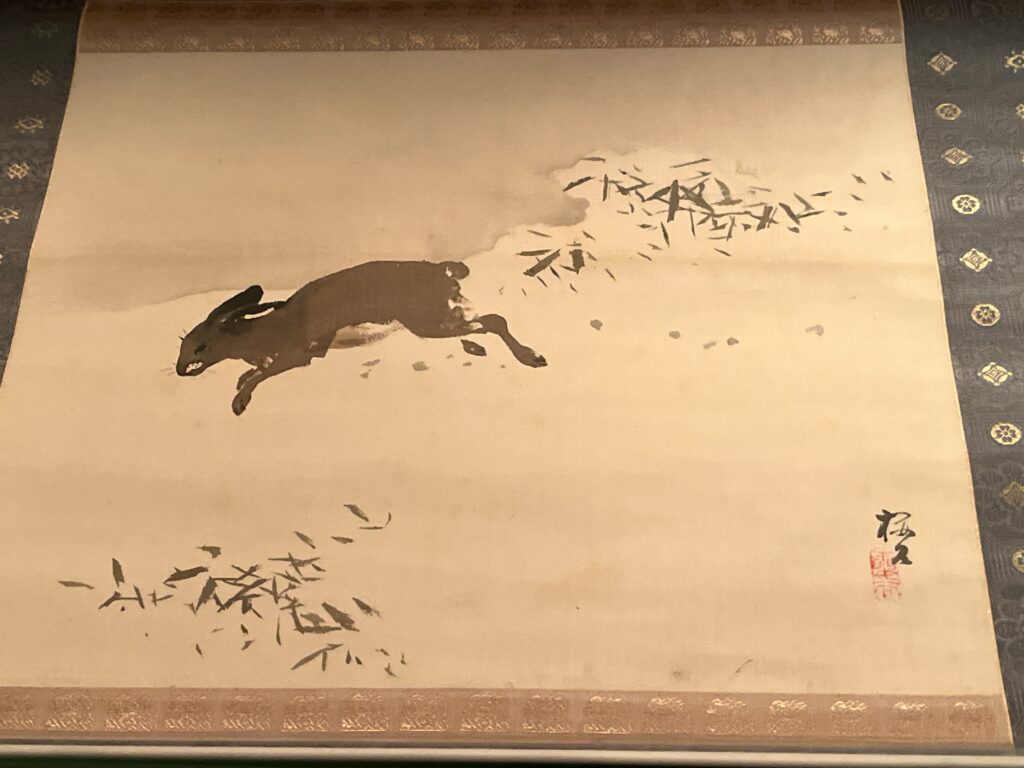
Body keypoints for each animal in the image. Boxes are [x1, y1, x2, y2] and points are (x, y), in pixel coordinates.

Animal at [176, 260, 547, 415]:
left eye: (202, 345)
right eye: (183, 342)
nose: (179, 370)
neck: (264, 331)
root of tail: (441, 270)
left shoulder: (298, 354)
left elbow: (259, 375)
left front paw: (239, 403)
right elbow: (250, 373)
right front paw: (239, 387)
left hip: (425, 321)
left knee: (494, 319)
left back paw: (533, 357)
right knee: (480, 321)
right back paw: (480, 348)